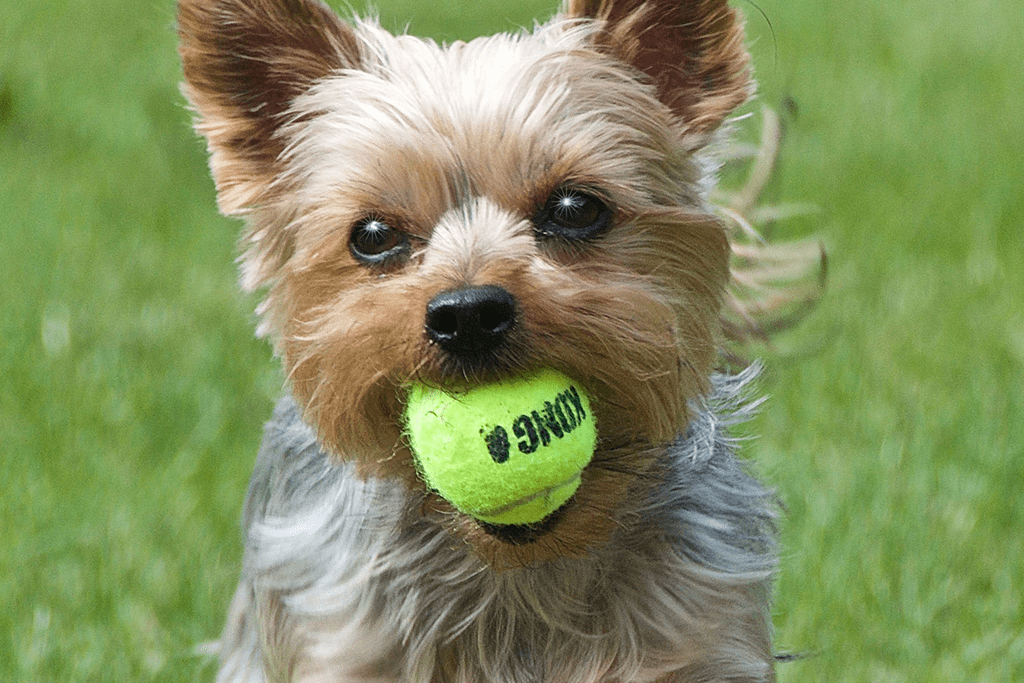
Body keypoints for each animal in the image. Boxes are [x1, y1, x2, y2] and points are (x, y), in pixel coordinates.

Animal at [178, 1, 782, 679]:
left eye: (575, 208)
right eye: (373, 235)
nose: (468, 313)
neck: (519, 567)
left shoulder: (699, 631)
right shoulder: (341, 639)